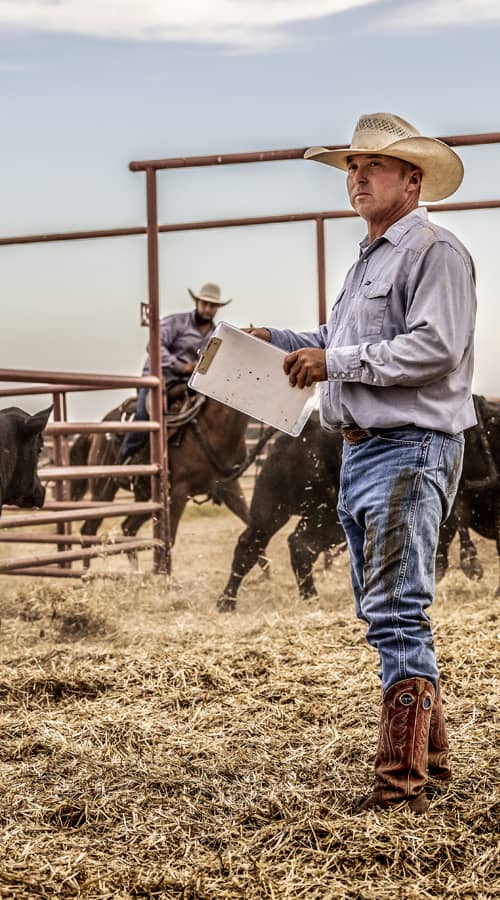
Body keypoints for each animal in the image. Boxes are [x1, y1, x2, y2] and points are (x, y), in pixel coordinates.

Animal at [217, 416, 346, 612]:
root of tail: (310, 428)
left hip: (272, 510)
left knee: (251, 545)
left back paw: (227, 600)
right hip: (326, 517)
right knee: (300, 544)